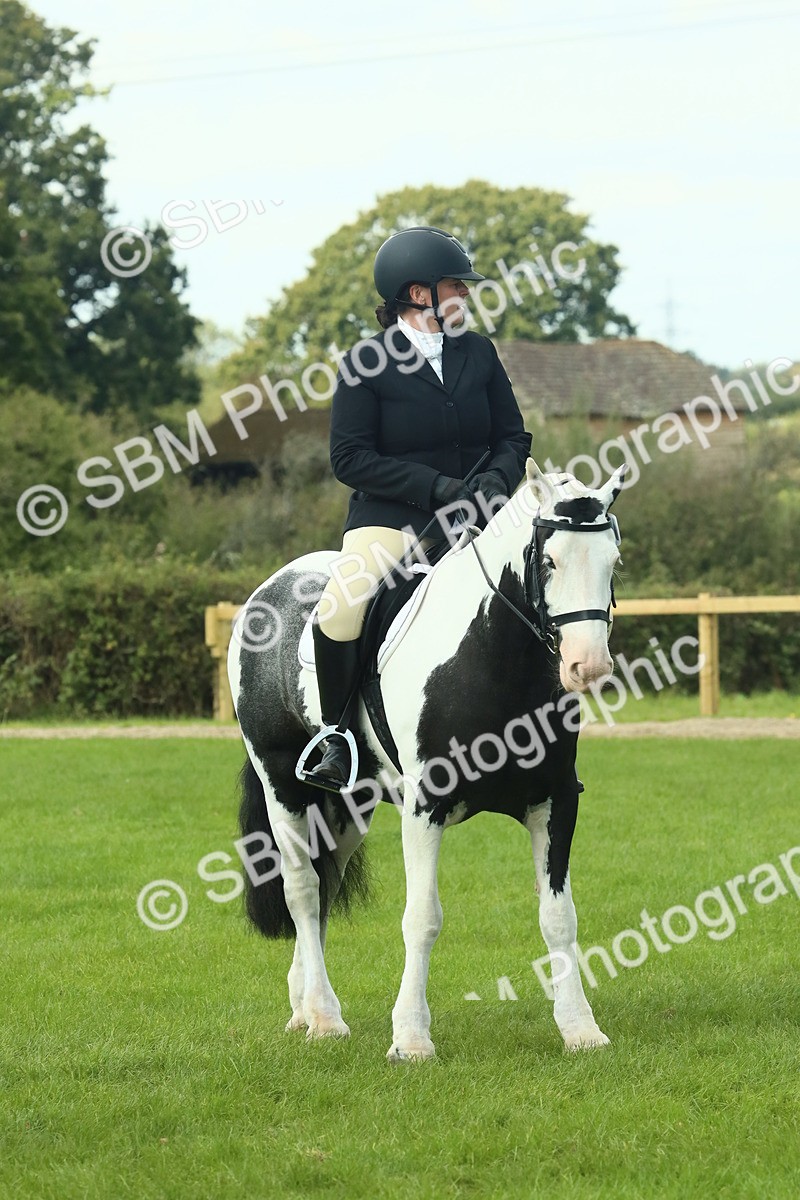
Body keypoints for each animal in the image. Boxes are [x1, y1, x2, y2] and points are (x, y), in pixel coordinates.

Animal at [228, 458, 626, 1060]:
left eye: (613, 563)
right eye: (549, 561)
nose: (589, 666)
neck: (492, 658)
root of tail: (268, 587)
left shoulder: (553, 801)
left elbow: (559, 916)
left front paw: (580, 1029)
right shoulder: (425, 806)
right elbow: (422, 919)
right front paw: (412, 1038)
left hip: (348, 805)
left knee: (325, 884)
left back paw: (304, 1005)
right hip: (283, 784)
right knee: (302, 888)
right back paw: (324, 1017)